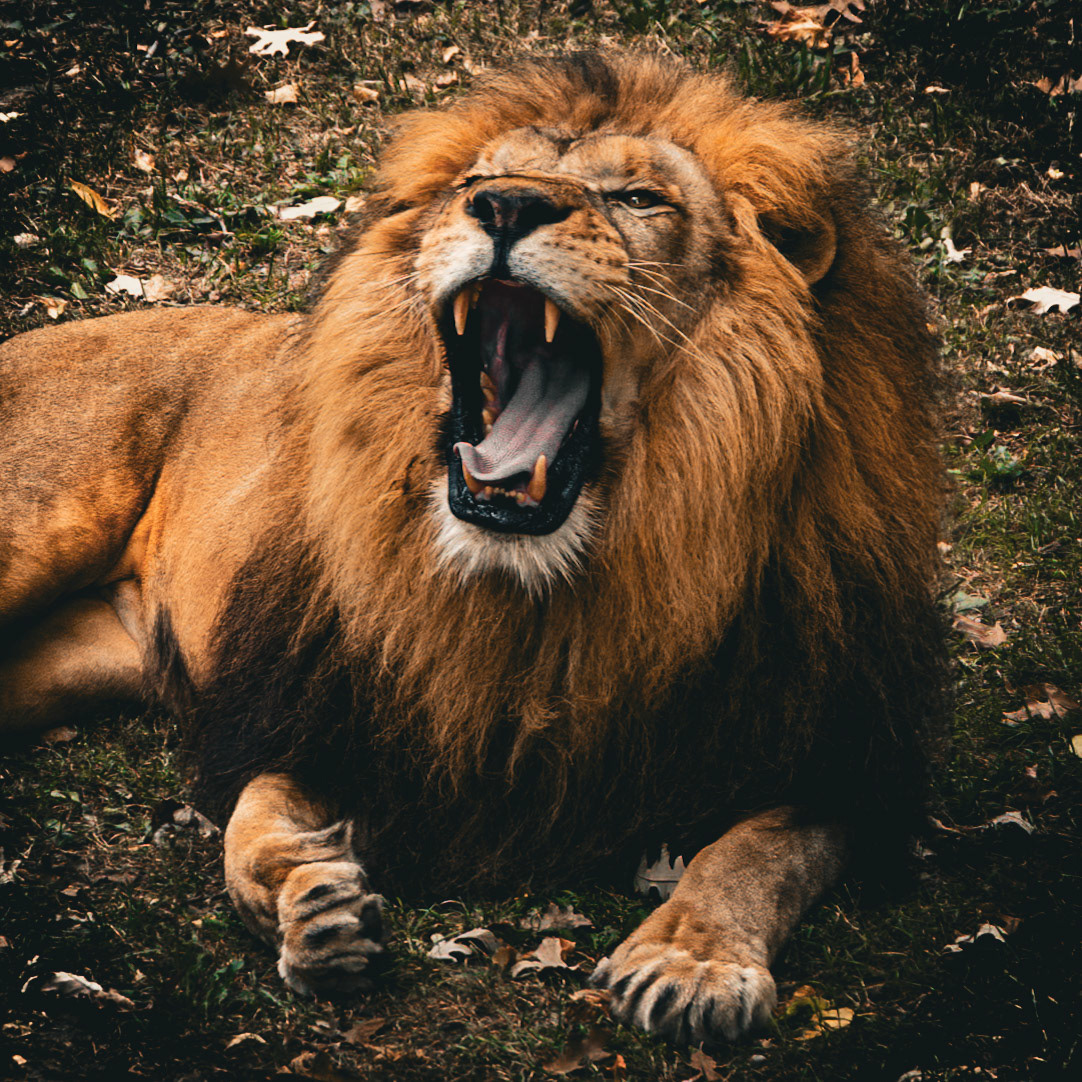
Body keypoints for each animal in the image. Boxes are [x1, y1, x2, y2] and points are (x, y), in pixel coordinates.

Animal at [0, 53, 945, 1043]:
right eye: (473, 183)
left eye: (641, 197)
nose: (505, 207)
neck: (538, 581)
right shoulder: (321, 706)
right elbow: (249, 826)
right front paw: (313, 906)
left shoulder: (841, 742)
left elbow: (763, 848)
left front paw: (691, 961)